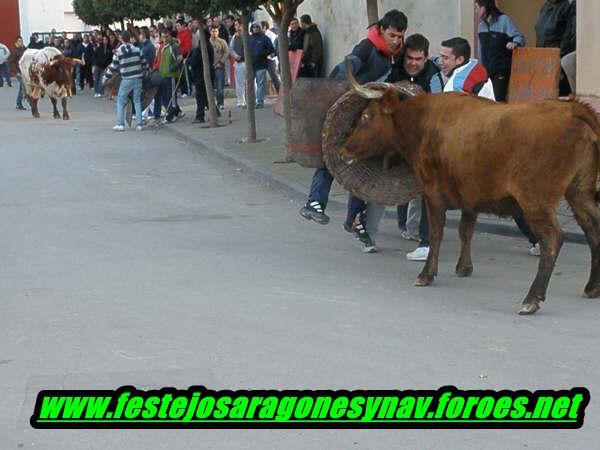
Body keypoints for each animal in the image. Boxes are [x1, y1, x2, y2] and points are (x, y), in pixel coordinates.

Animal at [340, 64, 600, 316]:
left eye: (366, 116)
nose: (343, 151)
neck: (423, 121)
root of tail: (572, 109)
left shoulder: (432, 193)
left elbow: (436, 233)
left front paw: (427, 274)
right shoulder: (470, 197)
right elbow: (466, 230)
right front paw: (463, 267)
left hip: (536, 200)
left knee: (552, 239)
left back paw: (531, 299)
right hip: (580, 192)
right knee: (593, 230)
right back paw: (591, 287)